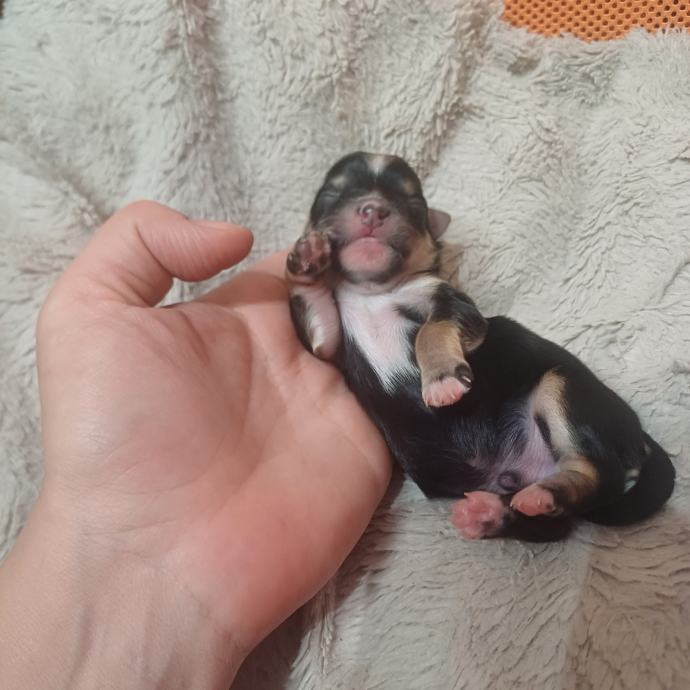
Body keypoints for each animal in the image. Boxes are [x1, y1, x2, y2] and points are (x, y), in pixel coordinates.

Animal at [285, 151, 675, 541]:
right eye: (330, 195)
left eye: (413, 204)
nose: (373, 210)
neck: (374, 294)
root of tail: (636, 433)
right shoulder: (332, 342)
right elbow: (314, 309)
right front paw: (307, 258)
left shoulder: (452, 303)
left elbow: (432, 329)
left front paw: (442, 381)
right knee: (554, 525)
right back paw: (490, 514)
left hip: (562, 387)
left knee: (599, 475)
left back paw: (542, 494)